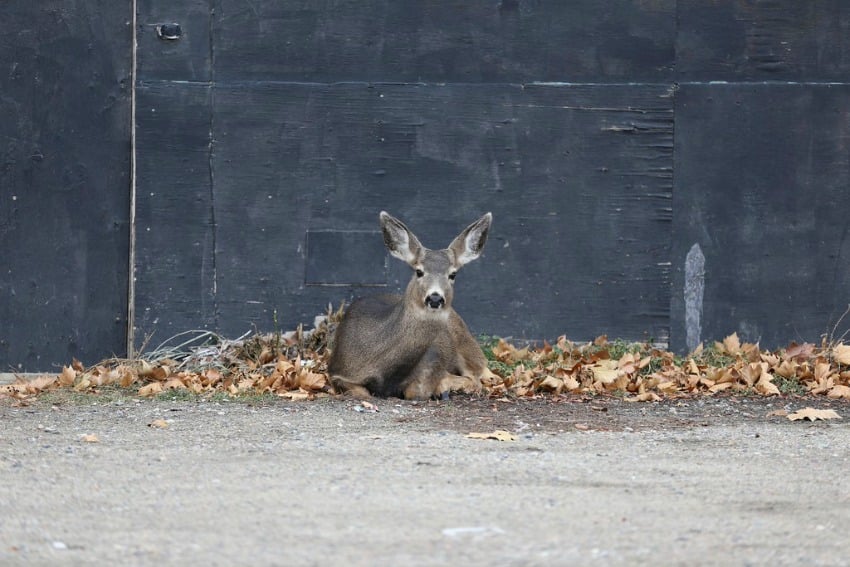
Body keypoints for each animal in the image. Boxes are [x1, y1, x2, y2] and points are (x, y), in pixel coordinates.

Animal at [328, 211, 497, 400]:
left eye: (452, 274)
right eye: (419, 271)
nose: (435, 298)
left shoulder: (433, 361)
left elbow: (417, 390)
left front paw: (442, 388)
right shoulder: (340, 370)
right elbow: (361, 392)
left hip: (465, 341)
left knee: (479, 375)